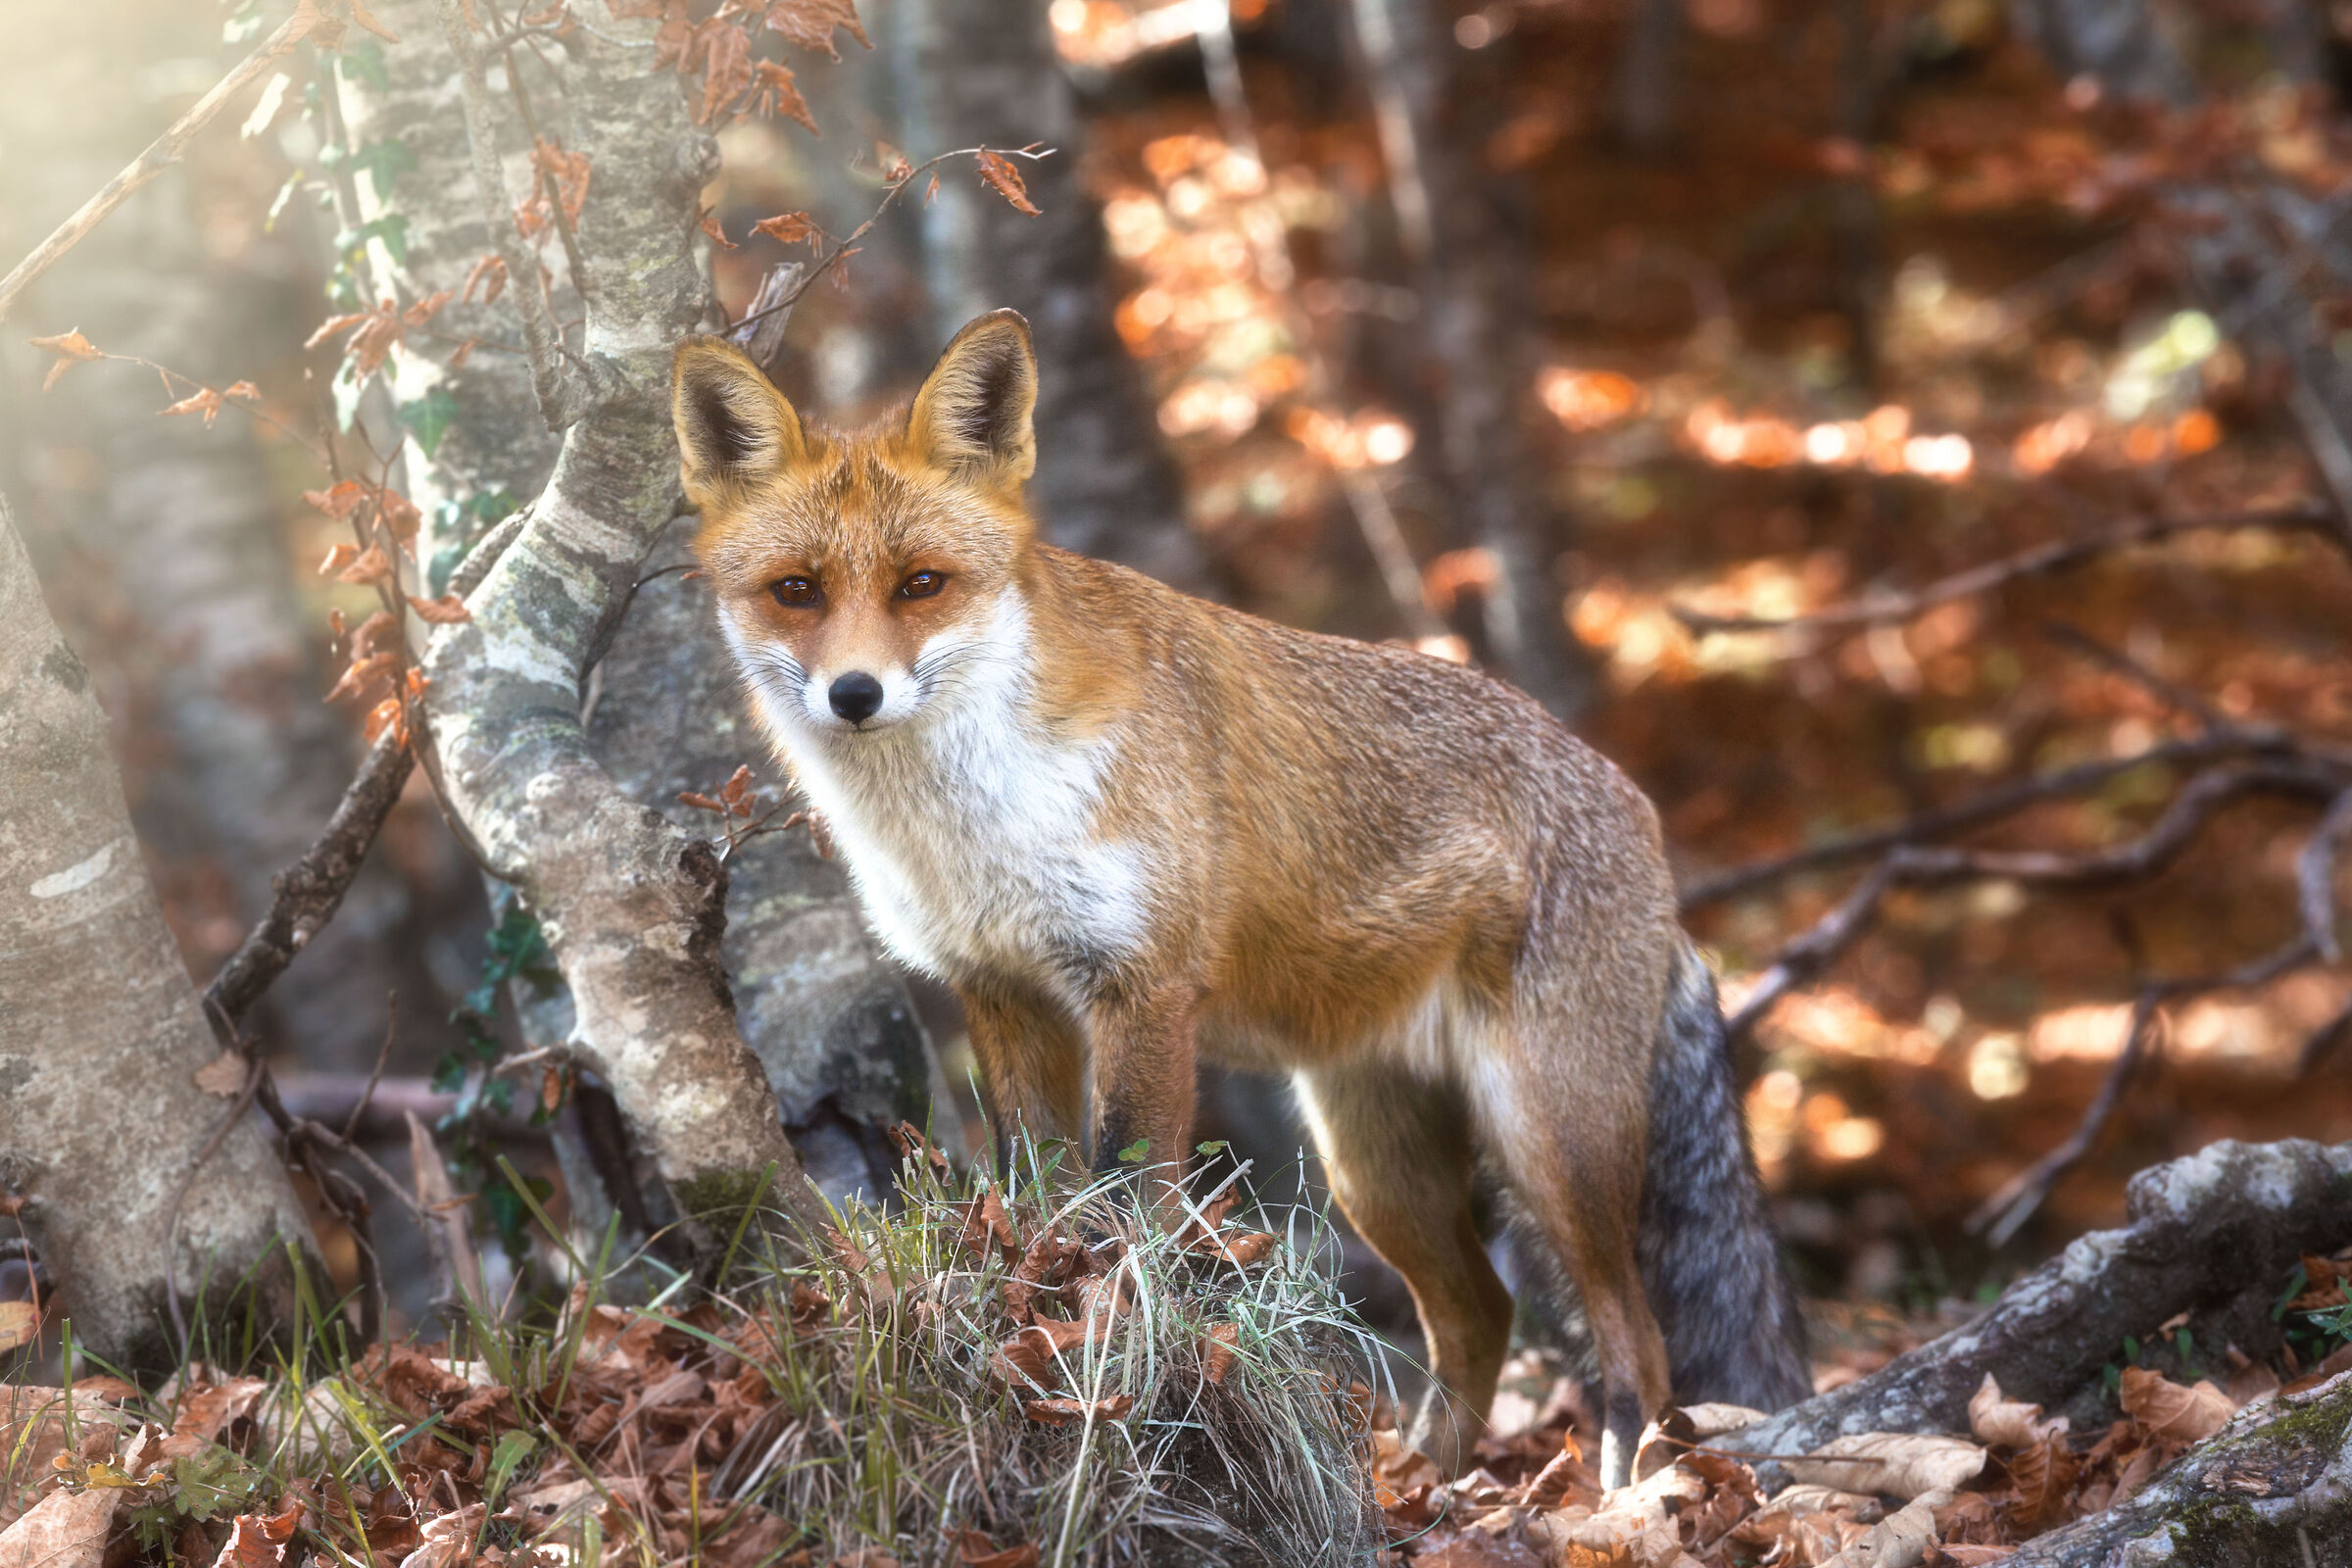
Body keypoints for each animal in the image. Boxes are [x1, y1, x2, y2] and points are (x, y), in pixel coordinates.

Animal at [671, 309, 1809, 1487]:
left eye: (921, 584)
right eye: (797, 590)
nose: (854, 694)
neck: (973, 825)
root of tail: (1644, 821)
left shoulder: (1144, 988)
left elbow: (1128, 1199)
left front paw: (1121, 1349)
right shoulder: (1004, 989)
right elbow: (1040, 1195)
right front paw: (1040, 1312)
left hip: (1548, 1137)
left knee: (1636, 1336)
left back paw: (1624, 1488)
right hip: (1376, 1167)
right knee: (1482, 1313)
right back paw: (1421, 1486)